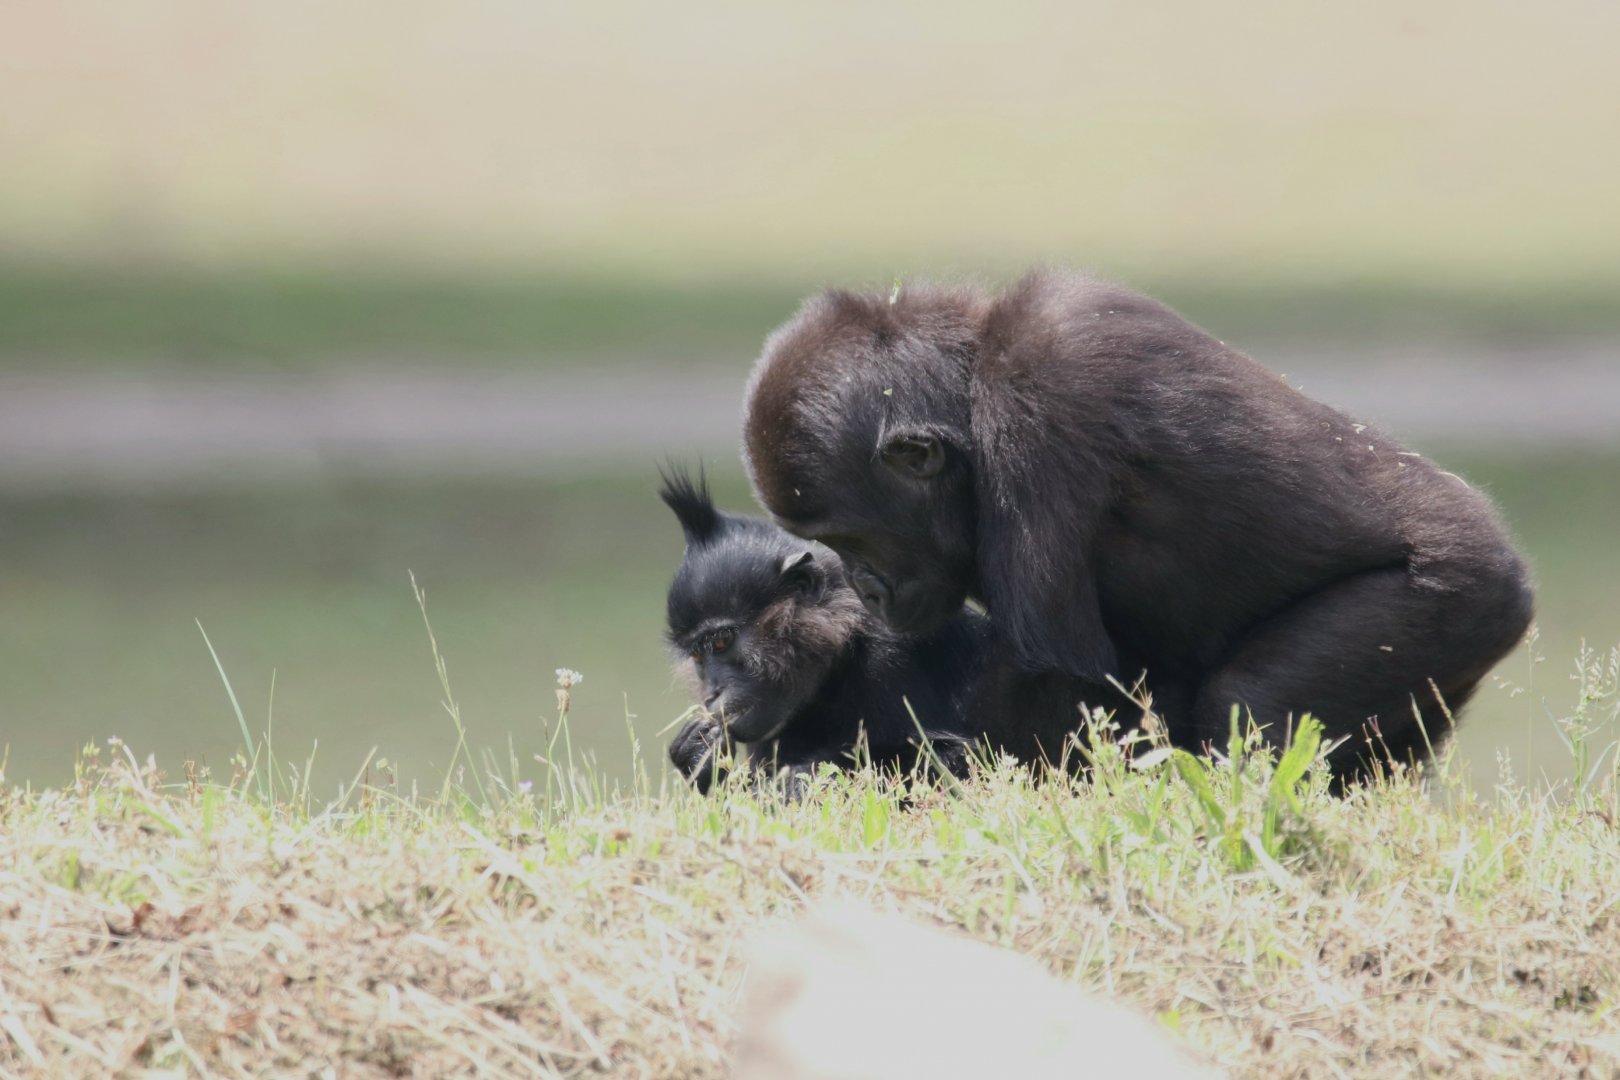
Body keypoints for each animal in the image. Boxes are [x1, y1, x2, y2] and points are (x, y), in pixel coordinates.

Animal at [658, 466, 991, 794]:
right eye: (697, 657)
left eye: (722, 642)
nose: (711, 694)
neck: (840, 660)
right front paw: (698, 753)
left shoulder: (891, 654)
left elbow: (954, 759)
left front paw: (793, 782)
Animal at [741, 269, 1534, 786]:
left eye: (852, 538)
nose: (867, 590)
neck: (971, 378)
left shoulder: (1041, 399)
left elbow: (1052, 672)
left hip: (1458, 595)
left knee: (1251, 701)